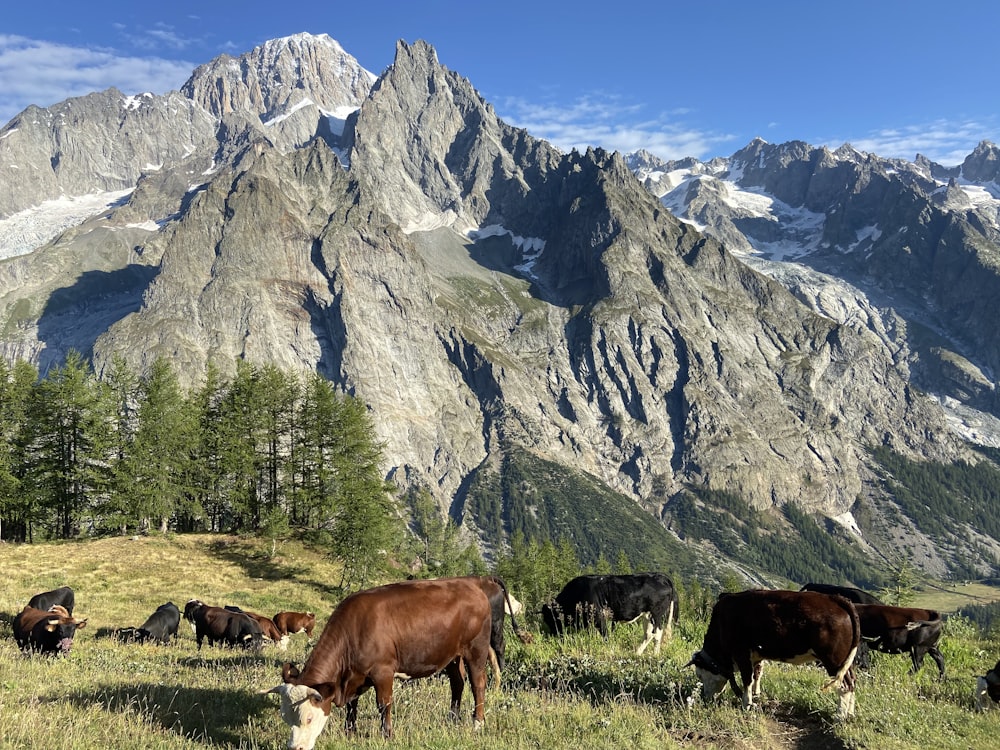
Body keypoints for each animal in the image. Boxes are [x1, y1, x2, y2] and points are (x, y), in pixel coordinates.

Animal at [260, 576, 490, 748]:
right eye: (285, 717)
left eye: (308, 718)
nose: (295, 747)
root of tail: (472, 585)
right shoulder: (354, 677)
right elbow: (352, 706)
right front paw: (349, 732)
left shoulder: (383, 671)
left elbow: (383, 703)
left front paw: (387, 735)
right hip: (452, 655)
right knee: (457, 683)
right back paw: (453, 718)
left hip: (476, 648)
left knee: (477, 684)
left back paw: (477, 723)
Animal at [540, 576, 680, 656]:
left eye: (550, 618)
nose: (554, 634)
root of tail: (662, 577)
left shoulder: (598, 617)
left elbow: (605, 635)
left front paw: (610, 650)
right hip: (647, 615)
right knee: (650, 634)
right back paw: (642, 653)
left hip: (656, 614)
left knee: (656, 634)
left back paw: (650, 654)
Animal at [688, 592, 860, 720]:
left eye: (700, 675)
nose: (705, 698)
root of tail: (835, 599)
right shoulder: (756, 655)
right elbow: (756, 674)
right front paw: (756, 695)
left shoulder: (742, 652)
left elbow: (747, 678)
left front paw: (746, 703)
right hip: (845, 660)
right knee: (852, 681)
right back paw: (850, 714)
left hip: (834, 660)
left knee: (844, 686)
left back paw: (840, 716)